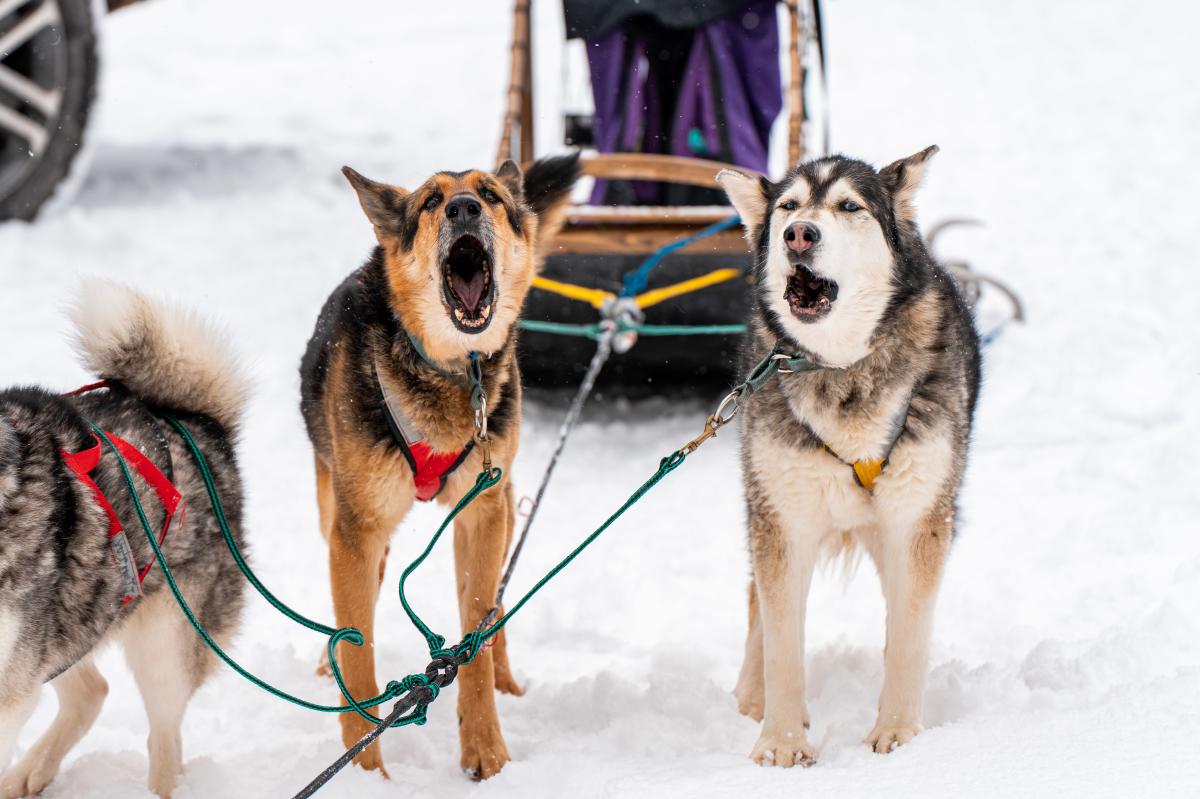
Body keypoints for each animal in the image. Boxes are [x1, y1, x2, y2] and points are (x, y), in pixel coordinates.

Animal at [0, 278, 248, 791]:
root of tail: (191, 420)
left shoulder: (11, 682)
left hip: (162, 643)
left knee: (165, 743)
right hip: (73, 621)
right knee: (92, 693)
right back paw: (26, 777)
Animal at [300, 152, 580, 772]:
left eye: (490, 195)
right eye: (430, 201)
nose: (463, 208)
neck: (450, 371)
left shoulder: (481, 516)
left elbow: (474, 631)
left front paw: (487, 752)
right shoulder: (356, 531)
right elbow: (358, 655)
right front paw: (365, 773)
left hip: (498, 509)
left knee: (494, 608)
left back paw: (505, 680)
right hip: (341, 516)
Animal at [715, 146, 979, 763]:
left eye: (849, 206)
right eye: (788, 206)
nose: (799, 234)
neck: (842, 366)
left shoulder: (916, 521)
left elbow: (908, 635)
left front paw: (899, 733)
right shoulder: (783, 520)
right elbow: (781, 641)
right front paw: (782, 743)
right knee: (758, 605)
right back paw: (751, 697)